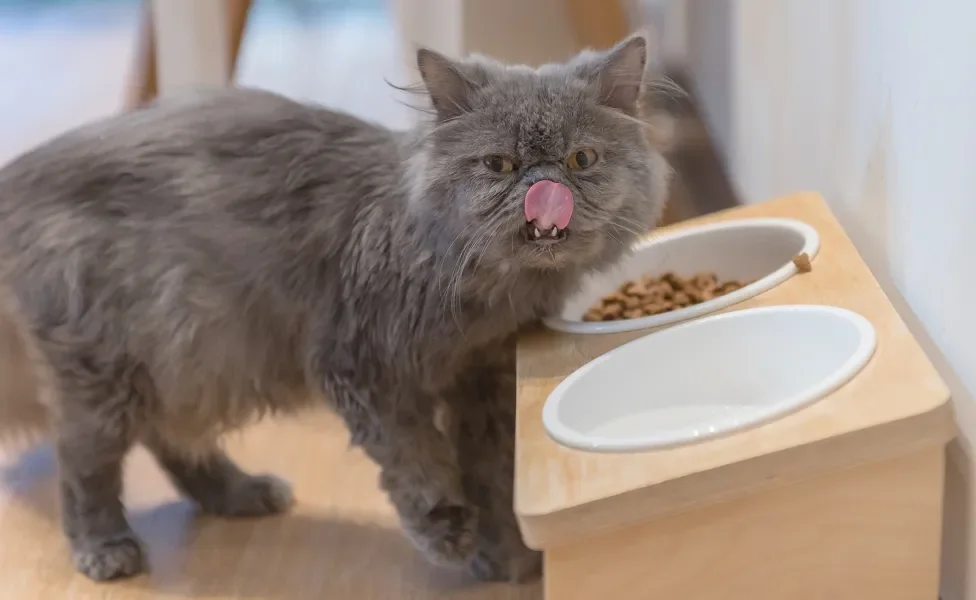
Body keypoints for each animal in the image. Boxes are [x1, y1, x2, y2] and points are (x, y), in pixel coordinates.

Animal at [0, 31, 668, 580]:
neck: (489, 300)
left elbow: (490, 472)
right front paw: (449, 531)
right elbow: (415, 457)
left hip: (190, 364)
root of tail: (15, 184)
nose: (542, 188)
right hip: (110, 368)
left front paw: (505, 556)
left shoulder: (484, 378)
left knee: (170, 441)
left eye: (581, 159)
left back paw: (240, 494)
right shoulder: (361, 364)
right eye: (499, 165)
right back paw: (106, 549)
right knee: (84, 462)